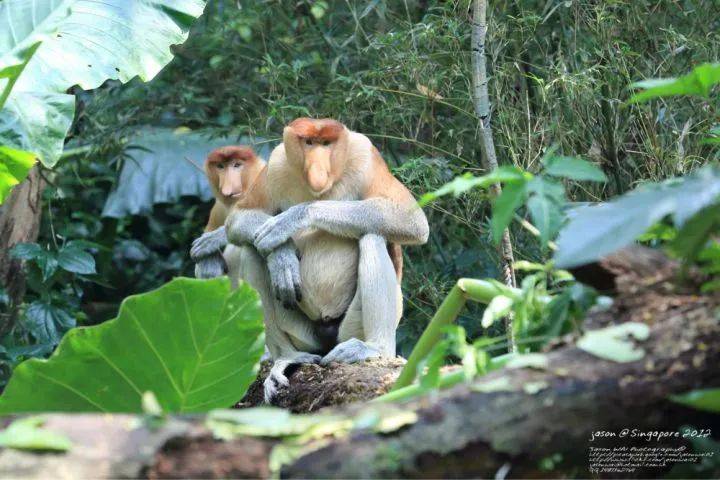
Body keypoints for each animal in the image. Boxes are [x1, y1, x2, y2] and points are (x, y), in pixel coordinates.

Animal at [222, 119, 428, 402]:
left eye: (326, 144)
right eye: (309, 142)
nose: (317, 168)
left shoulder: (366, 155)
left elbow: (412, 220)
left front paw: (292, 219)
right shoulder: (276, 163)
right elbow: (239, 218)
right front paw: (283, 257)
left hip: (351, 328)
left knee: (372, 235)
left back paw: (373, 348)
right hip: (303, 334)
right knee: (252, 250)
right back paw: (287, 357)